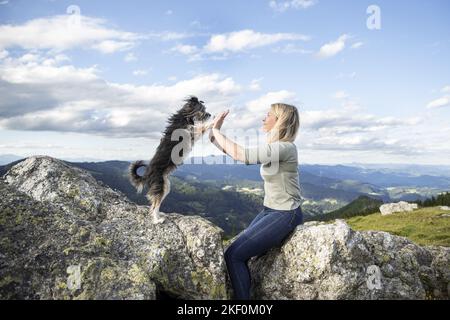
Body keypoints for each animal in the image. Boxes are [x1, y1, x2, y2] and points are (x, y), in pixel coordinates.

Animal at [129, 96, 212, 224]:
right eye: (202, 109)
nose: (210, 114)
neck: (185, 117)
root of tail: (147, 175)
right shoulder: (190, 133)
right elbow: (201, 127)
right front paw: (216, 120)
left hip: (166, 186)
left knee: (155, 204)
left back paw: (159, 215)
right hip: (160, 186)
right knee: (154, 204)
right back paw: (157, 220)